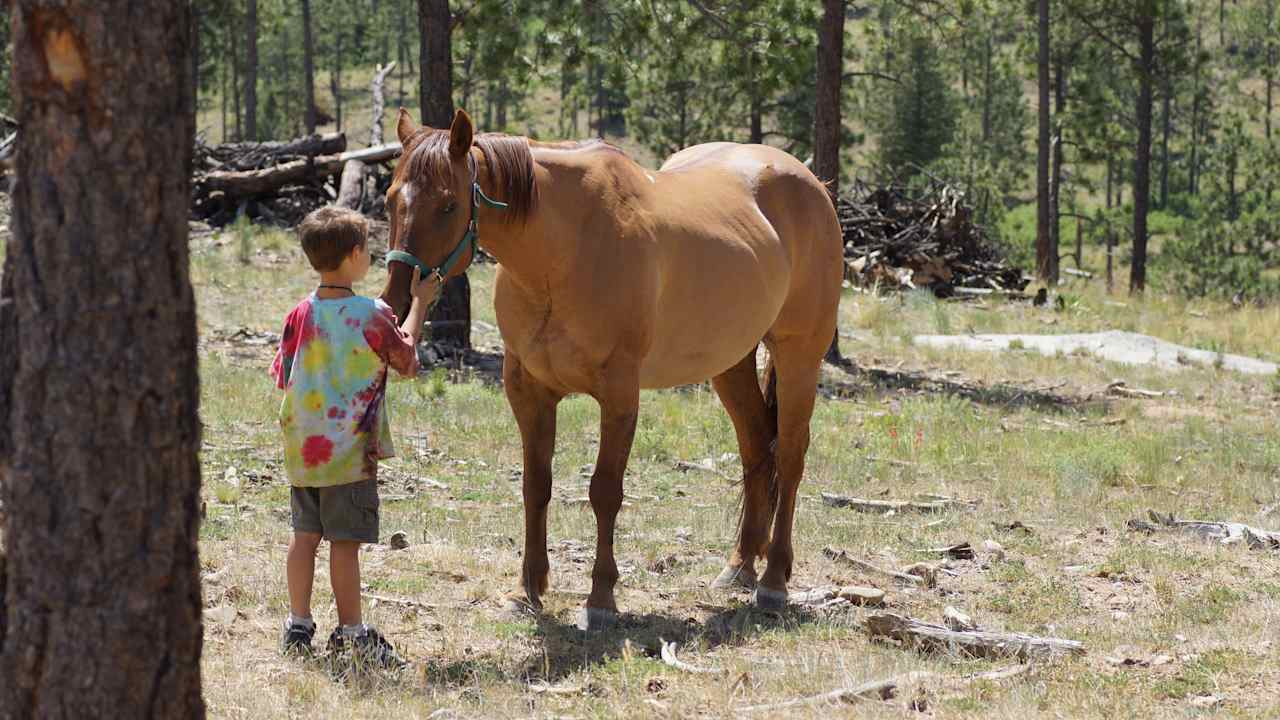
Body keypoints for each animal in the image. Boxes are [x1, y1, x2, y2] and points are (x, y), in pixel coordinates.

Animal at [378, 106, 839, 627]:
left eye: (449, 205)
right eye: (391, 199)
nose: (397, 303)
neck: (563, 253)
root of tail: (811, 183)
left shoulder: (619, 395)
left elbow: (605, 491)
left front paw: (600, 598)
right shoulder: (528, 391)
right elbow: (535, 487)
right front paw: (526, 591)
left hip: (799, 354)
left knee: (791, 456)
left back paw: (774, 580)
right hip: (731, 362)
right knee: (757, 448)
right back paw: (739, 567)